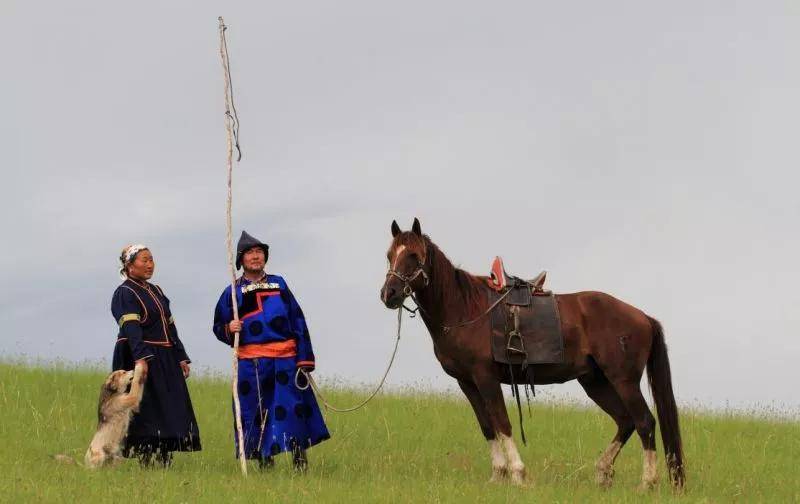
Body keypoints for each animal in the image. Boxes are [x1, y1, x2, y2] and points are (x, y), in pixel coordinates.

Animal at [380, 219, 680, 490]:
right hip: (595, 382)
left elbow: (502, 423)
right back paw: (603, 472)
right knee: (625, 421)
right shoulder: (467, 382)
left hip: (623, 381)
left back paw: (647, 483)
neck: (466, 309)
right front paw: (498, 474)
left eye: (413, 256)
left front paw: (517, 474)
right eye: (390, 255)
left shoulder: (486, 378)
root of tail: (642, 317)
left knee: (644, 421)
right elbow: (487, 426)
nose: (388, 294)